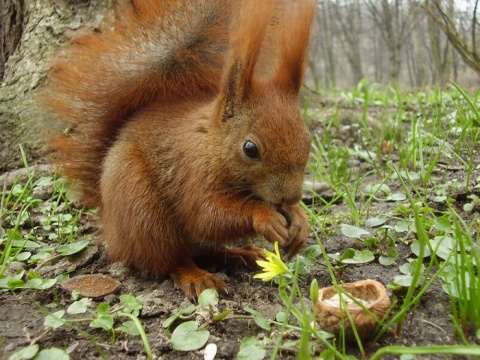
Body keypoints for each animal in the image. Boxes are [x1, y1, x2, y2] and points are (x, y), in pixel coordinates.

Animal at [43, 0, 316, 298]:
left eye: (308, 139)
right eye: (250, 149)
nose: (291, 196)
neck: (211, 147)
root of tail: (111, 228)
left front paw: (299, 218)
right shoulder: (192, 174)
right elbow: (206, 215)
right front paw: (265, 216)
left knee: (206, 251)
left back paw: (240, 254)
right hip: (141, 208)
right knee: (171, 259)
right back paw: (197, 277)